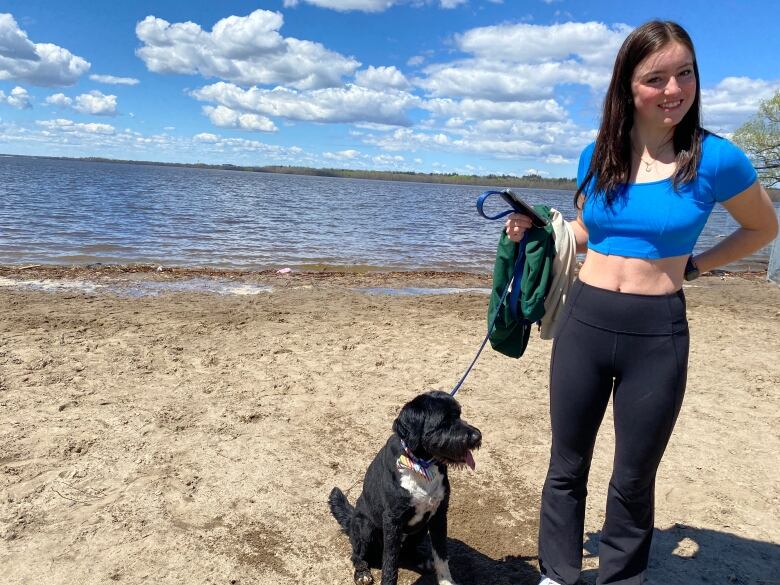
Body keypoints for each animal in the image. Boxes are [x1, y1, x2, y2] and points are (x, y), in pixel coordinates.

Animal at [326, 390, 478, 585]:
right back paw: (362, 572)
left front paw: (446, 581)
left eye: (459, 415)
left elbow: (442, 555)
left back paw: (420, 560)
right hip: (365, 527)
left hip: (421, 528)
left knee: (408, 551)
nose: (477, 436)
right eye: (443, 422)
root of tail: (351, 518)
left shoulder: (439, 514)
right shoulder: (392, 520)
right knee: (357, 555)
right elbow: (390, 563)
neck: (421, 464)